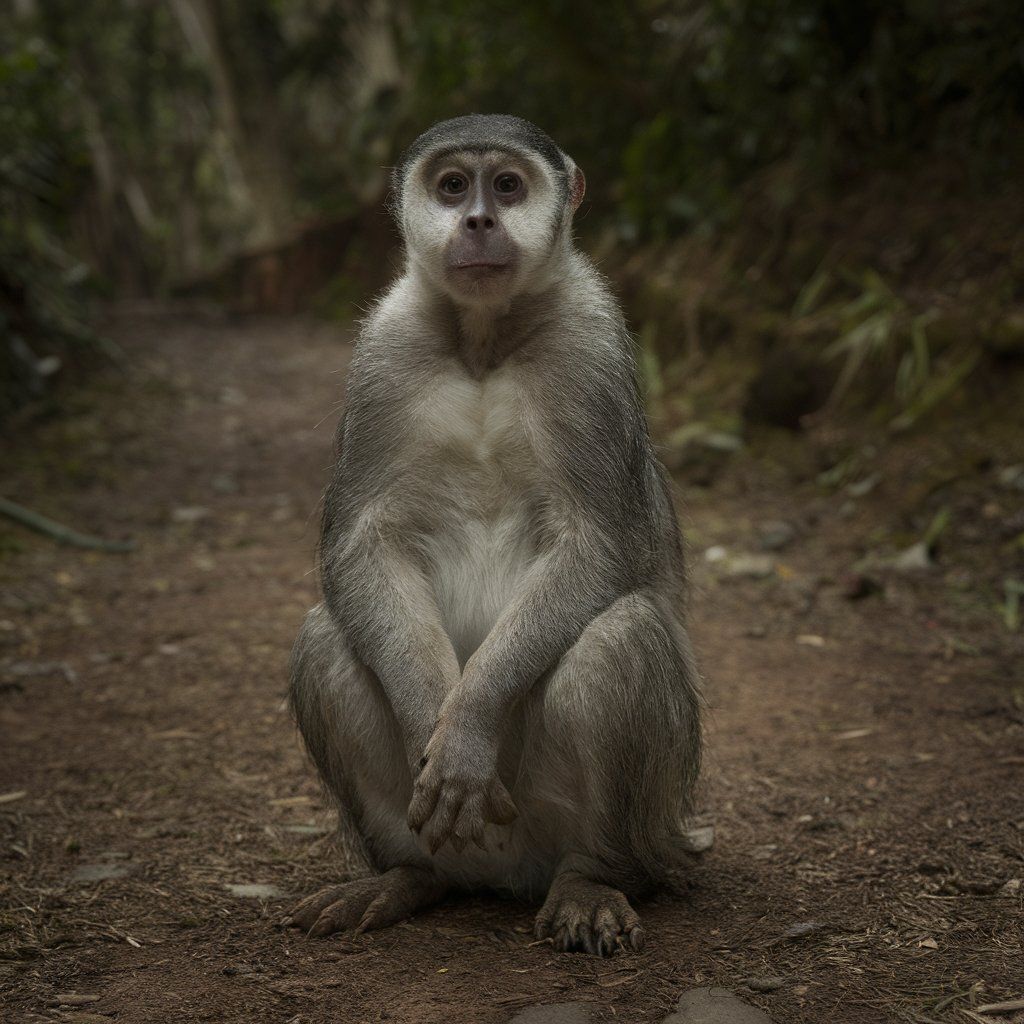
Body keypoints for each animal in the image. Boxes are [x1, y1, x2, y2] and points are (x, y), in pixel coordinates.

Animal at [286, 116, 704, 954]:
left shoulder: (591, 351)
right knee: (324, 638)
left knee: (624, 639)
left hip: (588, 823)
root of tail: (503, 874)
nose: (478, 220)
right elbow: (362, 544)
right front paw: (432, 722)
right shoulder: (384, 353)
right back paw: (407, 877)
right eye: (453, 187)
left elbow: (597, 546)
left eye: (506, 187)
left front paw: (466, 729)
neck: (483, 340)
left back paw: (591, 877)